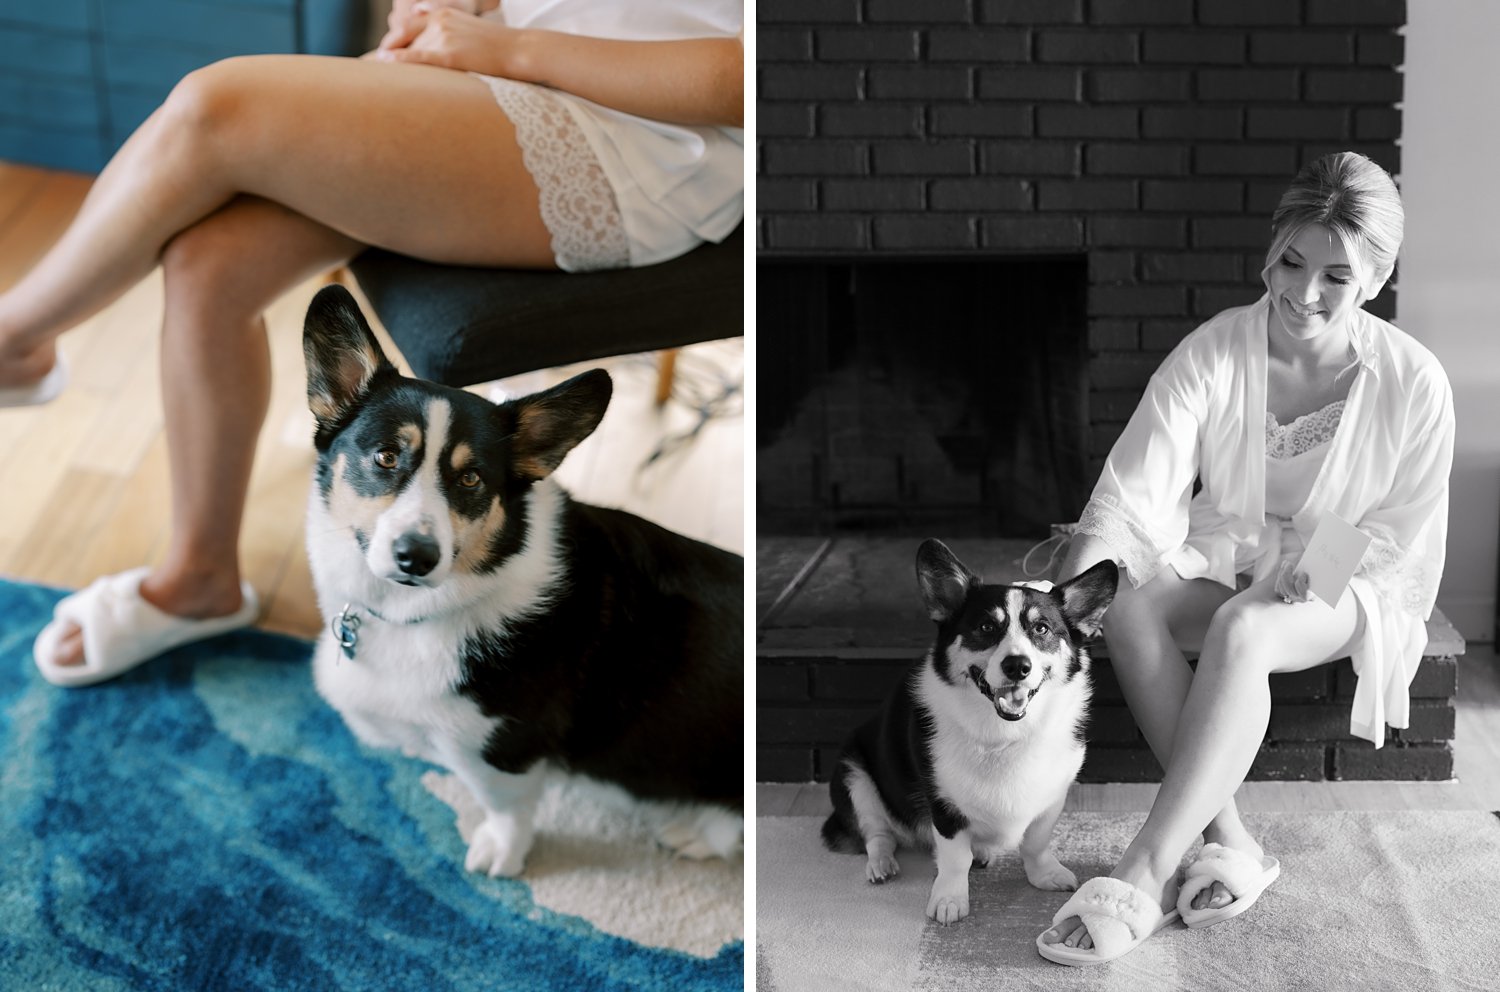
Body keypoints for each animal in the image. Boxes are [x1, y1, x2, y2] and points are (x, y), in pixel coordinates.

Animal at [303, 282, 744, 870]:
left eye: (471, 479)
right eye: (386, 456)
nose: (416, 557)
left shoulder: (502, 751)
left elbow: (506, 808)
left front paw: (501, 857)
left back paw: (696, 832)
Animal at [822, 540, 1116, 918]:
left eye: (1042, 629)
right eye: (986, 628)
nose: (1017, 666)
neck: (1005, 734)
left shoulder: (1052, 797)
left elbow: (1036, 842)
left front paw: (1045, 874)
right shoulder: (943, 803)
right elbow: (953, 857)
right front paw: (949, 900)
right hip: (854, 773)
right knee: (877, 833)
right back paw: (881, 864)